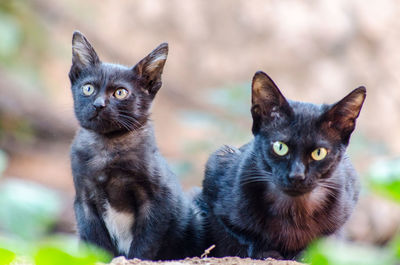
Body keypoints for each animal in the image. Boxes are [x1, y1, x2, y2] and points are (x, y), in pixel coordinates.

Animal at [69, 31, 205, 260]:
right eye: (88, 88)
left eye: (120, 93)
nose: (98, 104)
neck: (108, 146)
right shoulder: (84, 201)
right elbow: (97, 243)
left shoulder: (158, 200)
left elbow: (146, 241)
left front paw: (131, 259)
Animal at [203, 70, 366, 258]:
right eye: (280, 147)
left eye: (319, 153)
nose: (297, 175)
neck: (293, 212)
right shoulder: (217, 171)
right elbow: (243, 235)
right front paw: (266, 252)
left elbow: (324, 242)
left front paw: (303, 254)